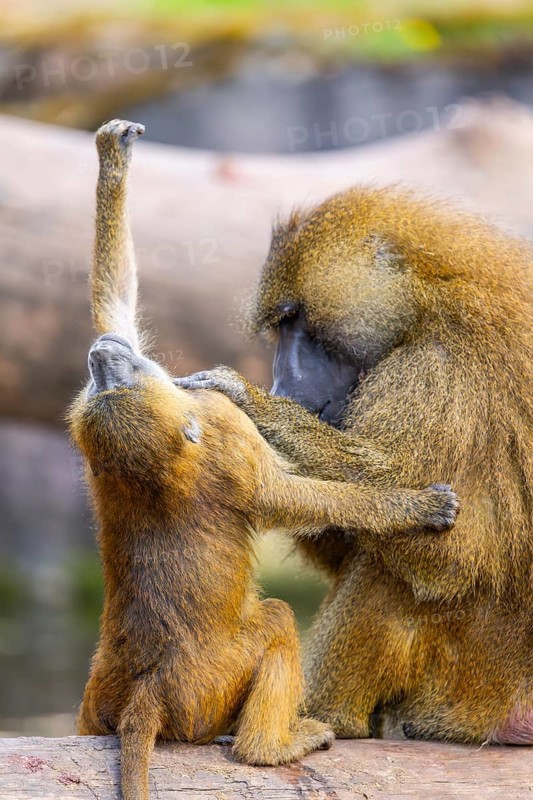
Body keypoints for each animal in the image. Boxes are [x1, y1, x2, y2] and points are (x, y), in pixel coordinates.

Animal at [68, 121, 460, 800]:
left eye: (110, 384)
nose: (102, 359)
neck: (156, 474)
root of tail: (147, 692)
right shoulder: (228, 440)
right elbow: (290, 498)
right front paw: (418, 506)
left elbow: (112, 305)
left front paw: (114, 159)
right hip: (213, 687)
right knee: (275, 618)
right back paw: (271, 747)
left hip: (103, 697)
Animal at [176, 186, 533, 746]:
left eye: (294, 318)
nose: (281, 386)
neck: (426, 303)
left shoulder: (436, 372)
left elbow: (458, 553)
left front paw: (254, 406)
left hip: (470, 688)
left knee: (389, 574)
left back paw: (325, 719)